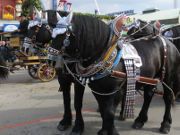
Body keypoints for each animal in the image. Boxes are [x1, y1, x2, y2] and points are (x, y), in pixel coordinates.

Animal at [50, 13, 180, 135]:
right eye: (52, 34)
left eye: (64, 35)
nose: (51, 60)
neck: (104, 55)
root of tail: (166, 41)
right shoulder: (98, 90)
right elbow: (104, 110)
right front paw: (104, 130)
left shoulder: (116, 91)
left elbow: (109, 112)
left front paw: (111, 131)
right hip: (151, 77)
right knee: (148, 95)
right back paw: (140, 120)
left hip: (168, 77)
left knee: (168, 97)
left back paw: (165, 124)